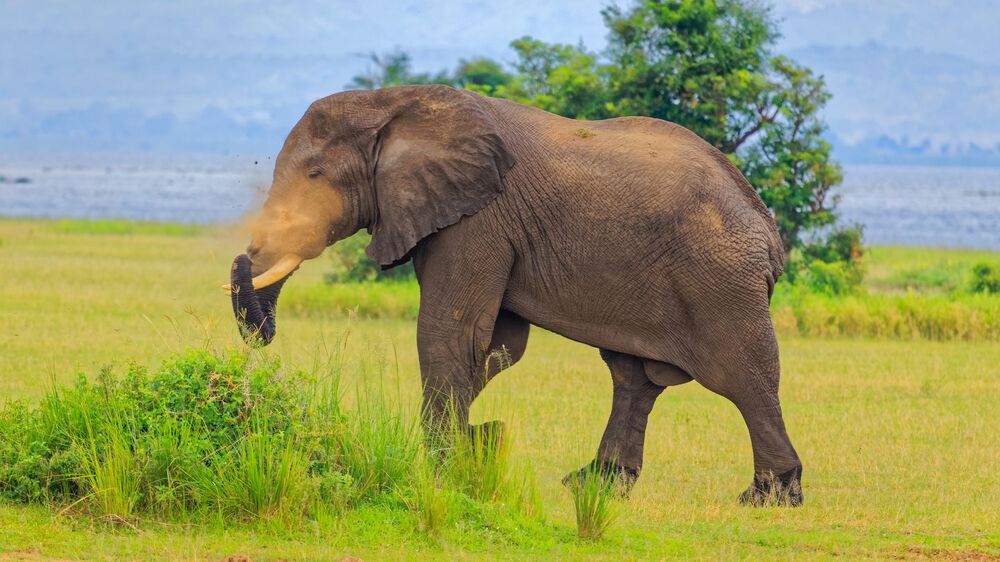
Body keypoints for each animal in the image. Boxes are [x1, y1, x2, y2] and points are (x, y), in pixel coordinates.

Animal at [226, 84, 803, 506]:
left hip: (720, 281)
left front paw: (443, 472)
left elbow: (453, 333)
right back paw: (593, 484)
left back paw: (767, 497)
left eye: (315, 174)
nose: (260, 337)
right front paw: (476, 446)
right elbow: (497, 346)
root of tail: (770, 232)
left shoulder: (477, 218)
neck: (394, 102)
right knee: (632, 377)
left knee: (743, 376)